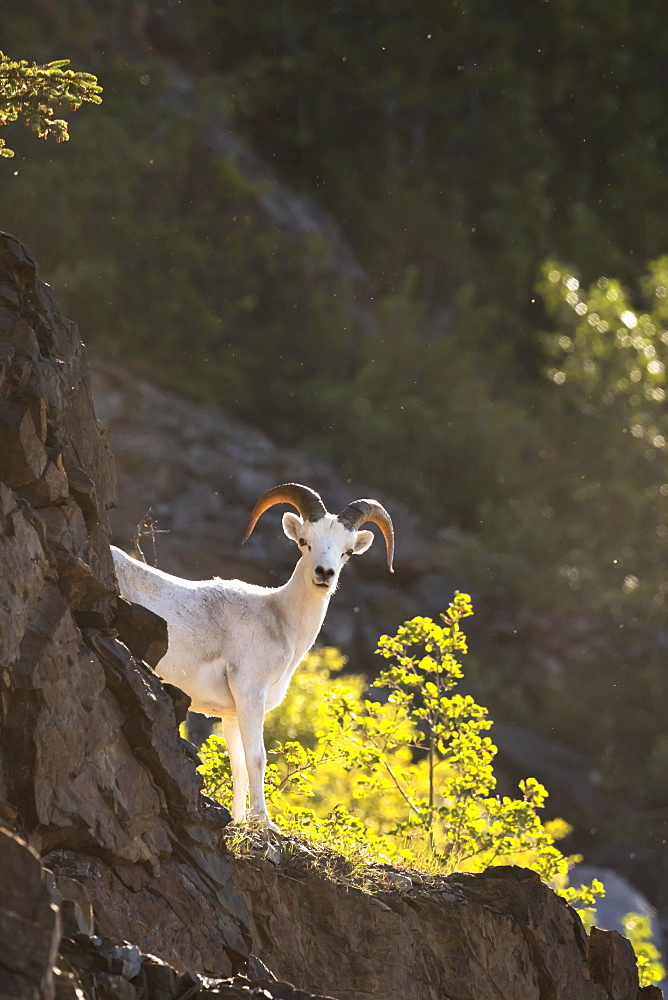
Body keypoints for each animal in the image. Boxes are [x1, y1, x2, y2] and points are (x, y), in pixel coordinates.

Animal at [109, 482, 392, 828]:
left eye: (347, 551)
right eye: (304, 541)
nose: (324, 573)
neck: (278, 619)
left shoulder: (231, 713)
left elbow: (239, 766)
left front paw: (239, 821)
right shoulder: (250, 693)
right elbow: (257, 758)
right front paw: (263, 822)